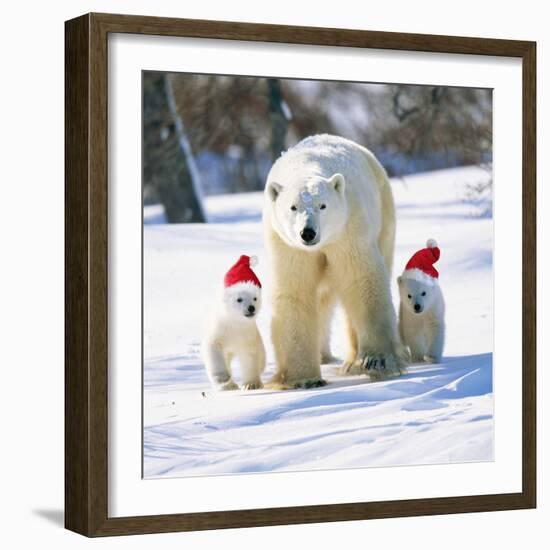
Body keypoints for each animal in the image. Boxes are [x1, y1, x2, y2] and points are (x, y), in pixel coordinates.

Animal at [203, 256, 268, 390]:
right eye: (239, 299)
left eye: (255, 298)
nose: (251, 308)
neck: (235, 323)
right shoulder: (219, 331)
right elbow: (213, 349)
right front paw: (223, 379)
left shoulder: (248, 335)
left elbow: (250, 356)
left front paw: (251, 384)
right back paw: (229, 386)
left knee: (261, 360)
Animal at [266, 135, 408, 390]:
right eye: (293, 207)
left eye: (323, 205)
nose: (308, 233)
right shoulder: (287, 245)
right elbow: (295, 291)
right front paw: (304, 378)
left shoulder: (348, 228)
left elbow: (361, 280)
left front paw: (377, 360)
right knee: (321, 299)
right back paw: (324, 356)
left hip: (384, 214)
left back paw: (352, 362)